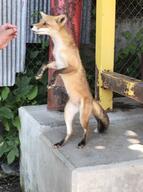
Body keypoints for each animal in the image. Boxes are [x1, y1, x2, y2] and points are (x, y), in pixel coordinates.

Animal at [31, 11, 109, 148]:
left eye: (45, 23)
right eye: (40, 21)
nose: (32, 26)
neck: (59, 47)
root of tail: (92, 98)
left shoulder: (72, 67)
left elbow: (56, 72)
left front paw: (51, 82)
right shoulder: (57, 62)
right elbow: (45, 64)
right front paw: (39, 74)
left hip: (83, 117)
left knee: (87, 129)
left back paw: (82, 143)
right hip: (67, 114)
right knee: (70, 132)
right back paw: (61, 143)